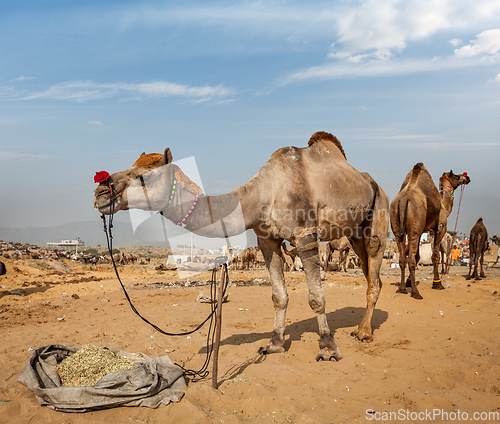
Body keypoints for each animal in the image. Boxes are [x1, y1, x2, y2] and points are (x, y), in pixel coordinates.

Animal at [94, 130, 390, 362]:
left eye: (144, 177)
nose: (100, 192)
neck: (264, 193)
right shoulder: (266, 240)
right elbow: (279, 296)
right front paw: (274, 345)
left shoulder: (304, 234)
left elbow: (316, 297)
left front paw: (327, 348)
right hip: (355, 234)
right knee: (369, 273)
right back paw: (361, 327)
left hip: (378, 216)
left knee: (374, 272)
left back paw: (364, 333)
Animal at [390, 164, 468, 300]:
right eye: (457, 176)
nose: (466, 177)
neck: (444, 206)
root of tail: (404, 200)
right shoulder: (440, 228)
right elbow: (435, 257)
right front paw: (437, 283)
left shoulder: (421, 230)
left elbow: (418, 256)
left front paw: (409, 282)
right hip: (414, 226)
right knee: (410, 259)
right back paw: (416, 293)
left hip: (398, 226)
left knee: (403, 258)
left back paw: (402, 289)